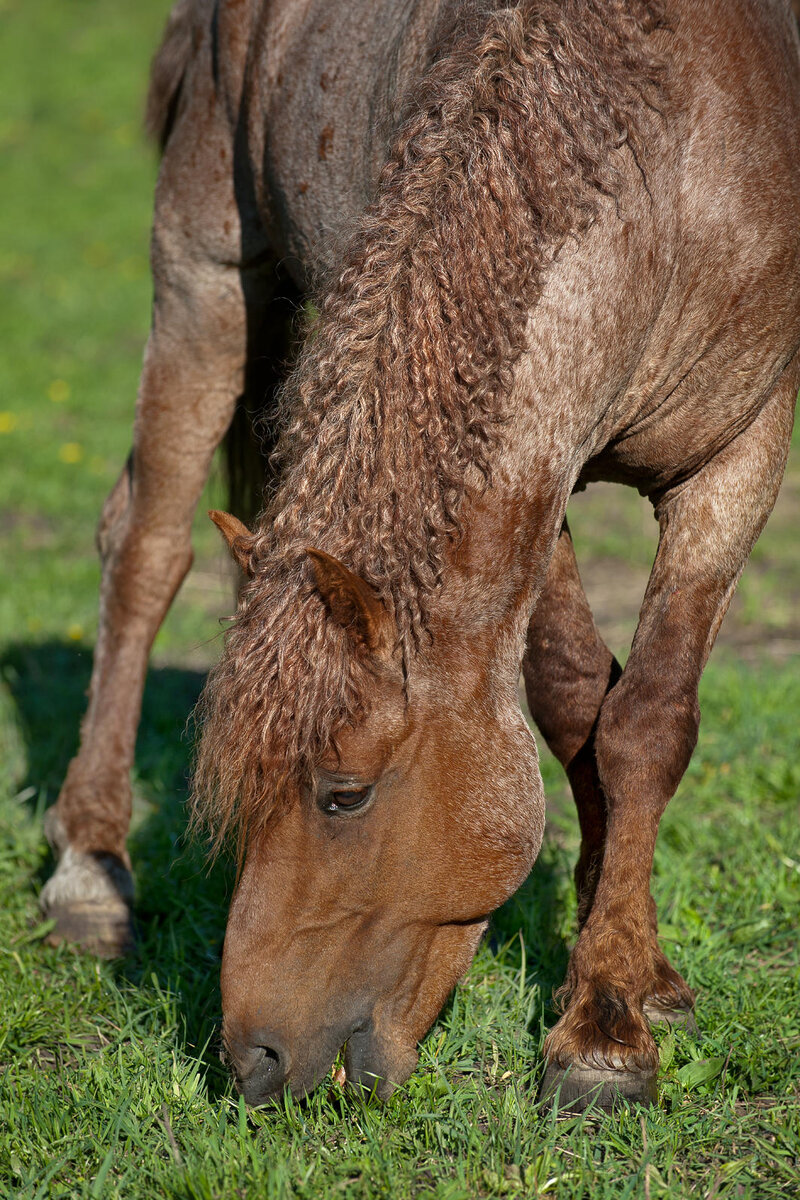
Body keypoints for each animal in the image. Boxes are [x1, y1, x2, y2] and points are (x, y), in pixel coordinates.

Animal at [40, 0, 800, 1113]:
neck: (675, 165)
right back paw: (91, 870)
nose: (252, 1061)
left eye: (343, 794)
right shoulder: (536, 477)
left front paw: (616, 999)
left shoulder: (739, 453)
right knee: (143, 550)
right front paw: (601, 1003)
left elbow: (640, 721)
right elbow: (571, 694)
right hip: (203, 268)